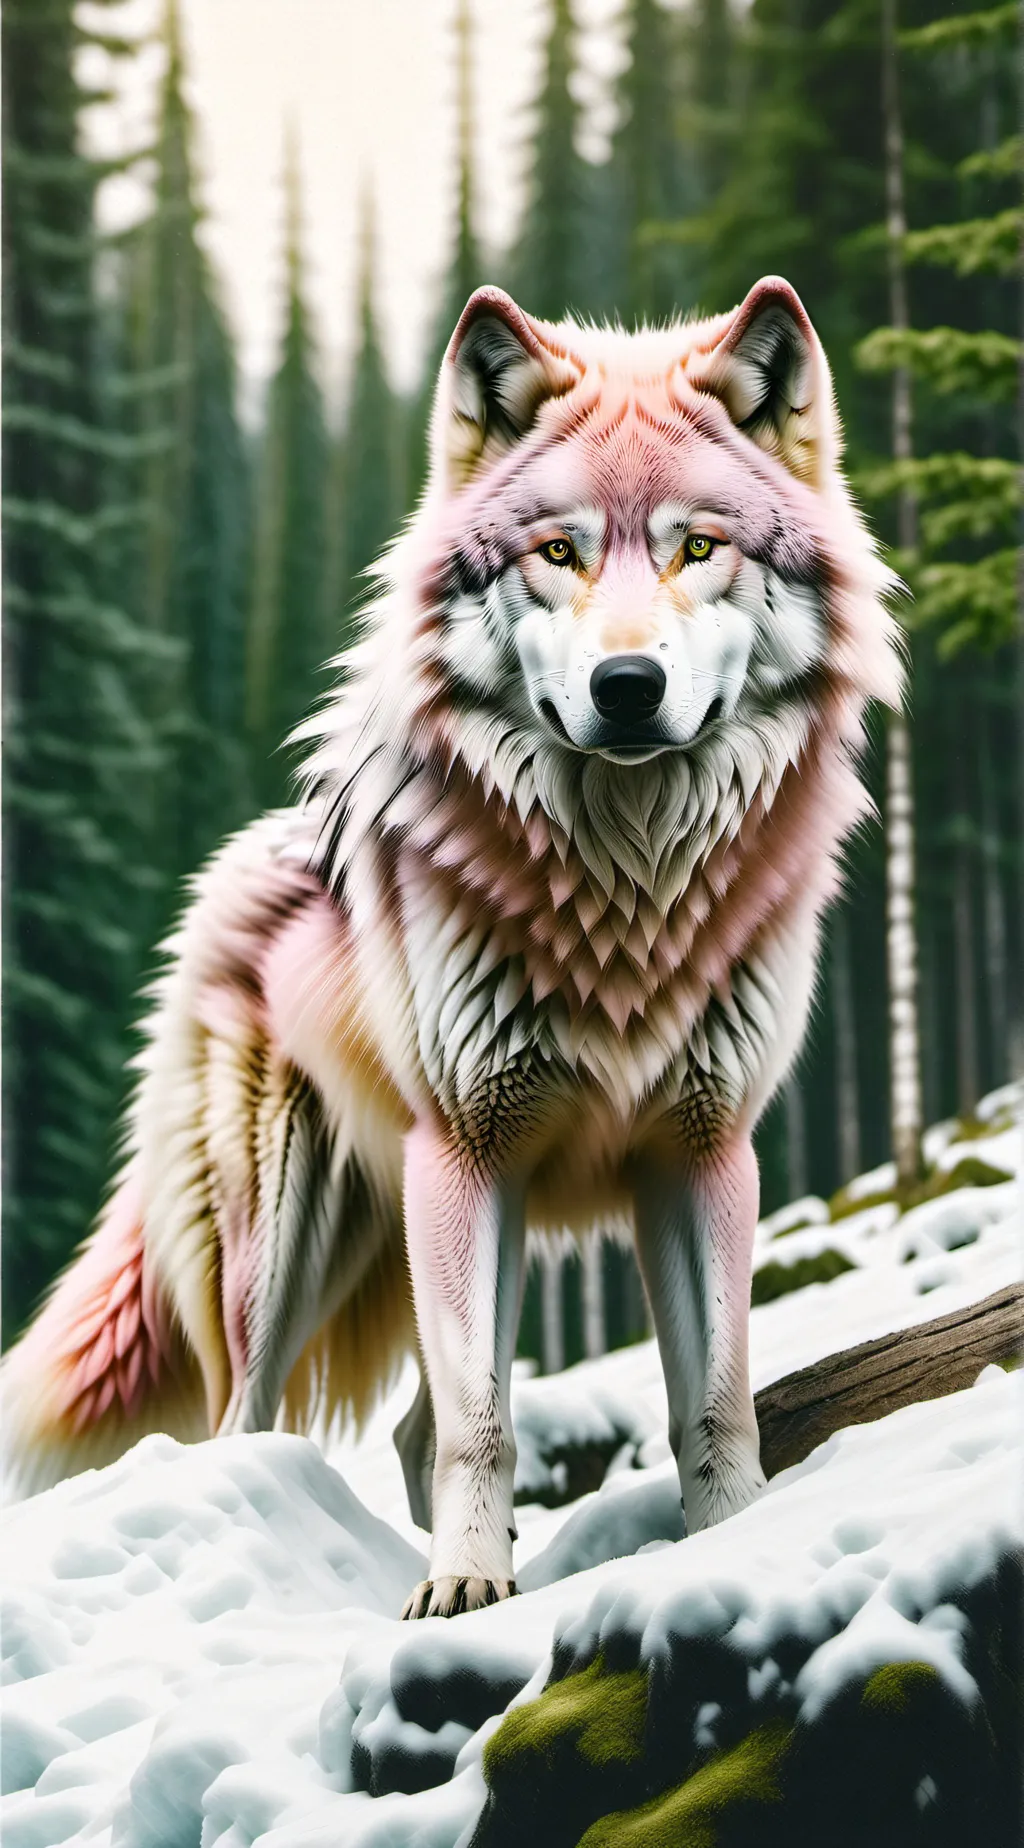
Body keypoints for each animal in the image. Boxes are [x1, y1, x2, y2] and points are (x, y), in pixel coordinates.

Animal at [3, 279, 900, 1617]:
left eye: (697, 547)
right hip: (289, 1246)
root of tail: (236, 863)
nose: (626, 687)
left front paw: (734, 1537)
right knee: (254, 1417)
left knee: (411, 1429)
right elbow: (484, 1421)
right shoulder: (467, 1154)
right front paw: (466, 1590)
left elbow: (715, 1401)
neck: (627, 888)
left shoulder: (703, 1153)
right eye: (557, 551)